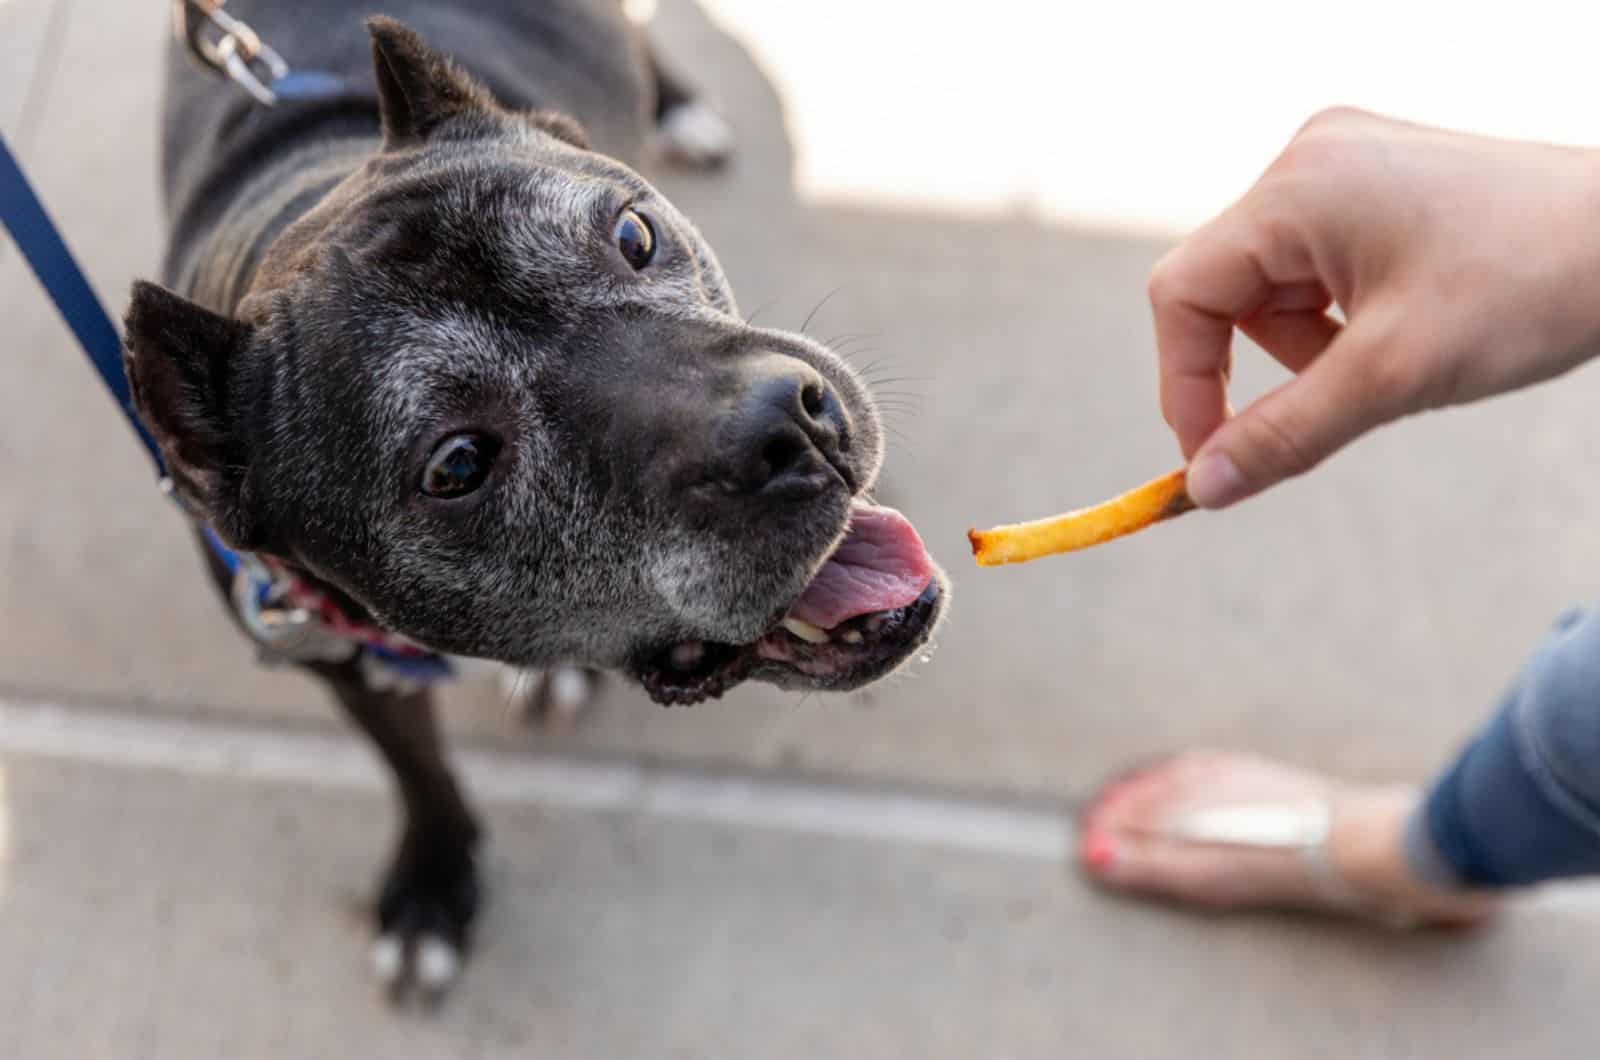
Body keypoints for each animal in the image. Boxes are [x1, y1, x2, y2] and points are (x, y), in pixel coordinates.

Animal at [131, 0, 947, 1005]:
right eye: (458, 465)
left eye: (634, 238)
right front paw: (432, 885)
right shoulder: (347, 666)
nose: (787, 425)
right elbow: (416, 767)